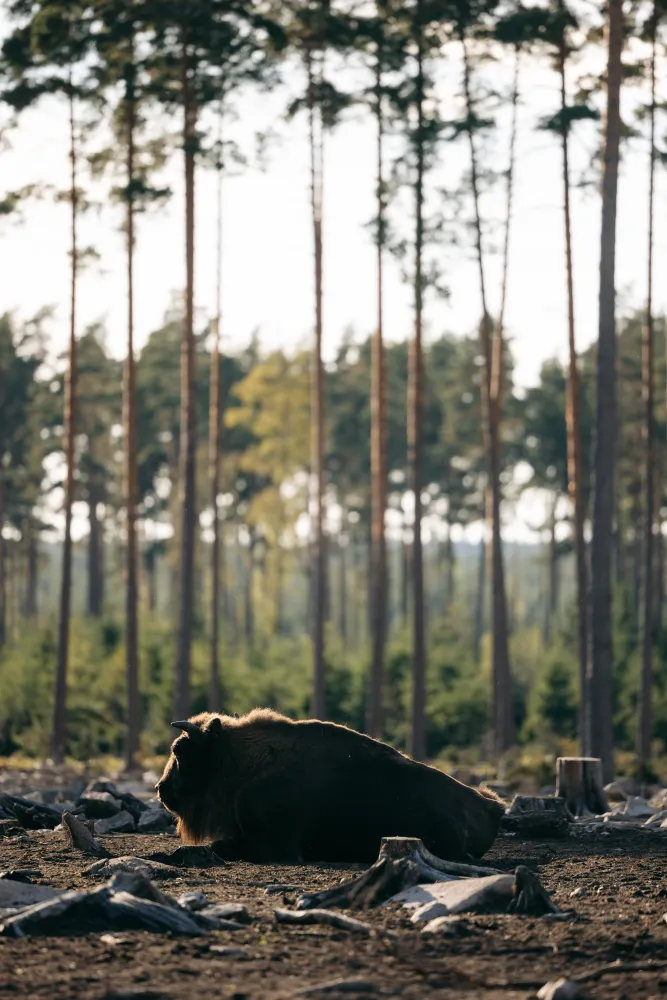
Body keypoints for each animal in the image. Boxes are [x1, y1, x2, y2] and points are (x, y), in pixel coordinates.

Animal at [155, 708, 500, 864]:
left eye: (180, 750)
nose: (160, 788)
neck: (239, 760)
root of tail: (489, 804)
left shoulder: (274, 846)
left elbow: (212, 847)